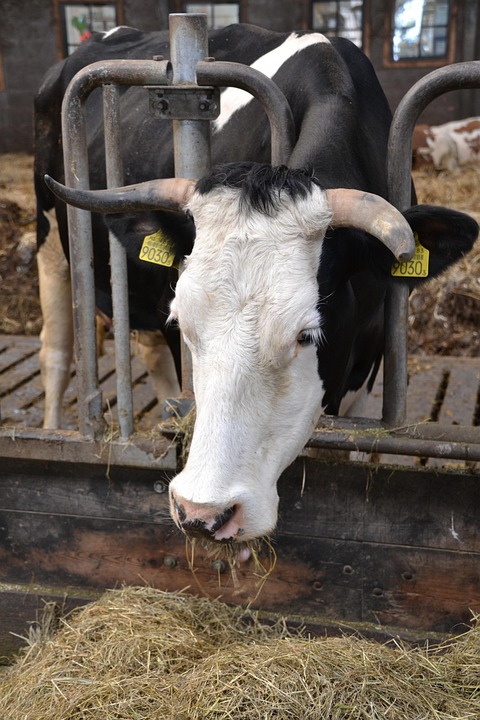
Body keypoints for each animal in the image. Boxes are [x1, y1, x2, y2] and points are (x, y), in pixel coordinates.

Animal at [37, 24, 478, 543]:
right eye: (184, 324)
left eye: (305, 336)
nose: (200, 511)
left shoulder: (367, 366)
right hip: (53, 243)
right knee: (56, 351)